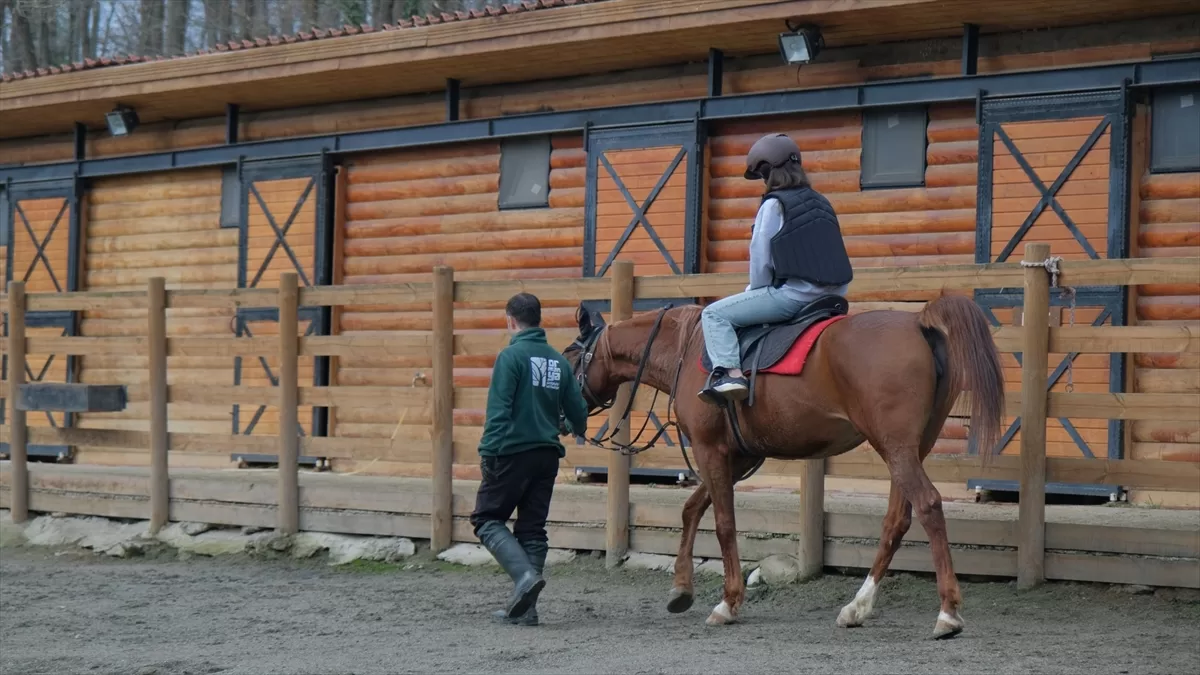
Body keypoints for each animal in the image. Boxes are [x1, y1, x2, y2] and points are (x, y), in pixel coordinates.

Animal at [561, 294, 1003, 634]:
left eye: (569, 355)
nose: (565, 415)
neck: (687, 350)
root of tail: (917, 322)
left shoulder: (710, 450)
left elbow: (723, 523)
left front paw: (728, 602)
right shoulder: (739, 455)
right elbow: (692, 509)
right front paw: (682, 589)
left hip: (896, 449)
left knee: (928, 505)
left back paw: (947, 613)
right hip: (909, 450)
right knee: (897, 521)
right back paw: (858, 607)